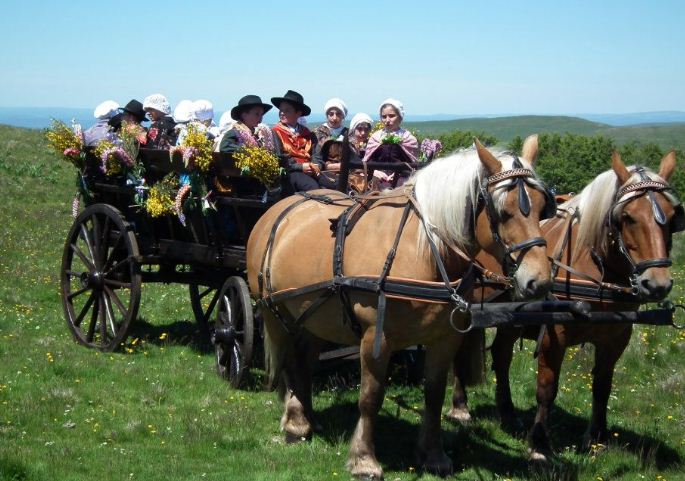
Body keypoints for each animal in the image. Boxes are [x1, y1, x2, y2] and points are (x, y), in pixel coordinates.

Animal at [248, 135, 552, 476]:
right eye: (502, 211)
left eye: (542, 207)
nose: (539, 281)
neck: (424, 251)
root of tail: (279, 208)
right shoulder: (376, 337)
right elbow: (370, 397)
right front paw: (364, 459)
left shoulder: (445, 338)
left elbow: (434, 394)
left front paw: (432, 455)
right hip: (275, 313)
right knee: (289, 362)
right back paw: (294, 424)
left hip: (313, 317)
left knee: (304, 361)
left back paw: (306, 419)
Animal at [448, 150, 680, 458]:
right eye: (628, 217)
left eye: (673, 216)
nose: (657, 284)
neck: (593, 265)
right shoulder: (553, 336)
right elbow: (547, 388)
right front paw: (539, 444)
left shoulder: (617, 338)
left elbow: (602, 386)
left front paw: (597, 438)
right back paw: (460, 405)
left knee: (502, 355)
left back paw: (508, 414)